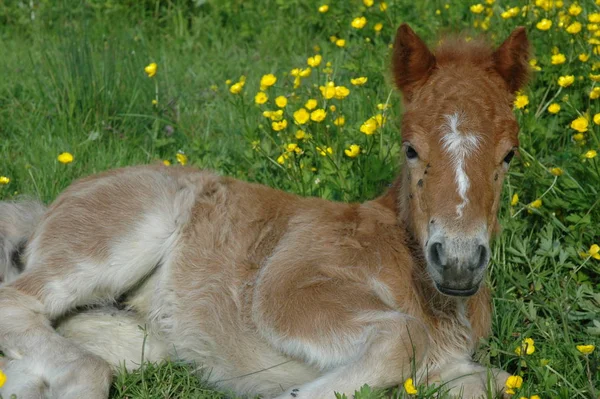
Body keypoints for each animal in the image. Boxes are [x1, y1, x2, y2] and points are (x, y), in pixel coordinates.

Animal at [0, 24, 528, 399]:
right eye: (411, 148)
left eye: (509, 155)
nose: (458, 263)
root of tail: (48, 210)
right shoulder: (288, 289)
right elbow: (403, 336)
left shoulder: (451, 368)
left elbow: (499, 382)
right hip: (118, 236)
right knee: (21, 304)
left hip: (137, 340)